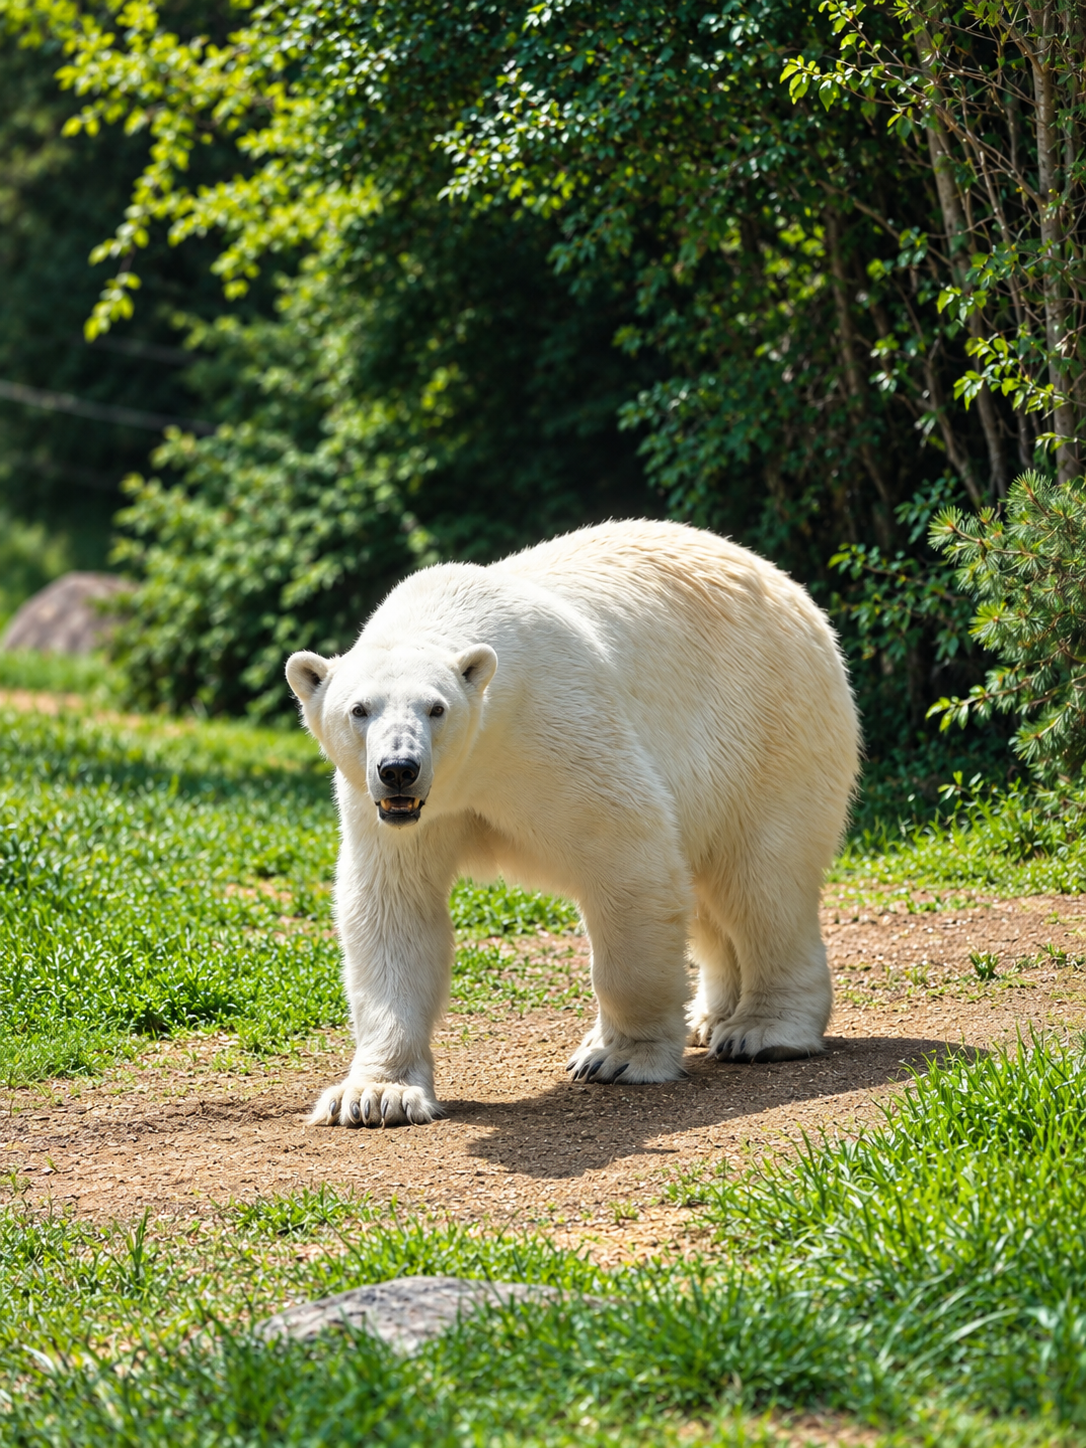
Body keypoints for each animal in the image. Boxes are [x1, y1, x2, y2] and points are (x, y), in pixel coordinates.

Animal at [285, 519, 860, 1127]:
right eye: (359, 709)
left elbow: (629, 854)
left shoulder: (553, 733)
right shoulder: (395, 812)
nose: (399, 769)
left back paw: (762, 1031)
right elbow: (393, 907)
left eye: (436, 708)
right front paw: (375, 1096)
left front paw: (617, 1056)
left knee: (762, 878)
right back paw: (709, 1019)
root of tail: (791, 589)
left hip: (772, 724)